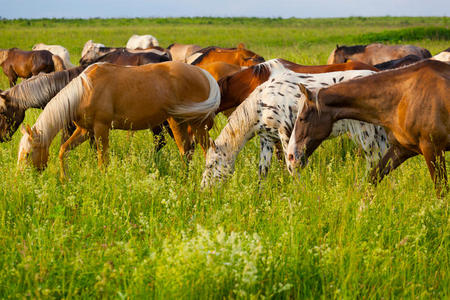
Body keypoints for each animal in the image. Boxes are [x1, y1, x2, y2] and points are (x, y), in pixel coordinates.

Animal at [18, 61, 221, 178]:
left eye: (28, 154)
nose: (21, 178)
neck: (85, 90)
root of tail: (203, 74)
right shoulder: (85, 131)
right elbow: (63, 150)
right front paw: (64, 179)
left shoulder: (101, 129)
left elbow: (103, 160)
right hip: (177, 122)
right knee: (186, 151)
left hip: (196, 125)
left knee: (207, 150)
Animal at [200, 60, 386, 188]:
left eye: (211, 165)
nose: (203, 189)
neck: (262, 103)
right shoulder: (267, 139)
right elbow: (263, 171)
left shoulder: (285, 134)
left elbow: (290, 167)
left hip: (368, 134)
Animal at [288, 60, 450, 196]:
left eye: (302, 118)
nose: (291, 156)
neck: (404, 96)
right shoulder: (403, 149)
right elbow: (370, 180)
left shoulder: (433, 149)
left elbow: (442, 192)